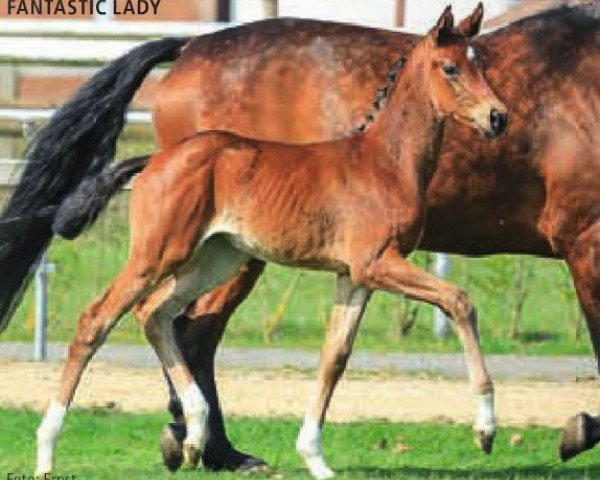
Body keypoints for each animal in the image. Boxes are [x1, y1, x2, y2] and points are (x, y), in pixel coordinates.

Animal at [36, 6, 506, 476]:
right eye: (450, 68)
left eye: (481, 65)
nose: (498, 117)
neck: (386, 162)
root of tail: (156, 159)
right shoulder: (377, 262)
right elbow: (459, 300)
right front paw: (485, 430)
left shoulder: (355, 277)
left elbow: (334, 357)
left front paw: (315, 458)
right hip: (158, 252)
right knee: (97, 319)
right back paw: (47, 451)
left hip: (216, 258)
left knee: (154, 313)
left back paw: (194, 435)